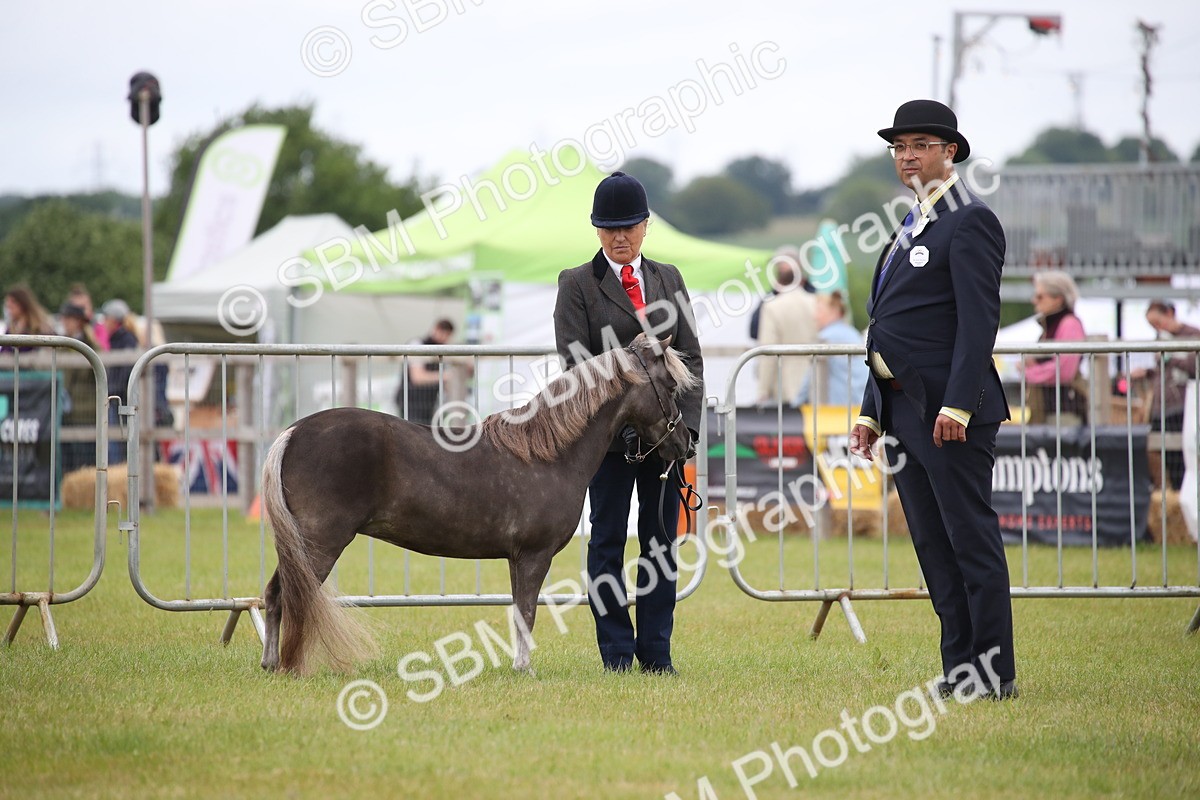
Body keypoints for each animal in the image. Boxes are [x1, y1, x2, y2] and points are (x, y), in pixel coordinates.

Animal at [259, 333, 698, 674]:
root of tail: (293, 433)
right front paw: (525, 669)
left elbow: (520, 611)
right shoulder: (534, 556)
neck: (548, 454)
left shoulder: (516, 558)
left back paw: (270, 664)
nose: (686, 444)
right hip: (320, 544)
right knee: (289, 597)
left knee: (273, 595)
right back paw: (287, 666)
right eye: (670, 387)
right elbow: (527, 612)